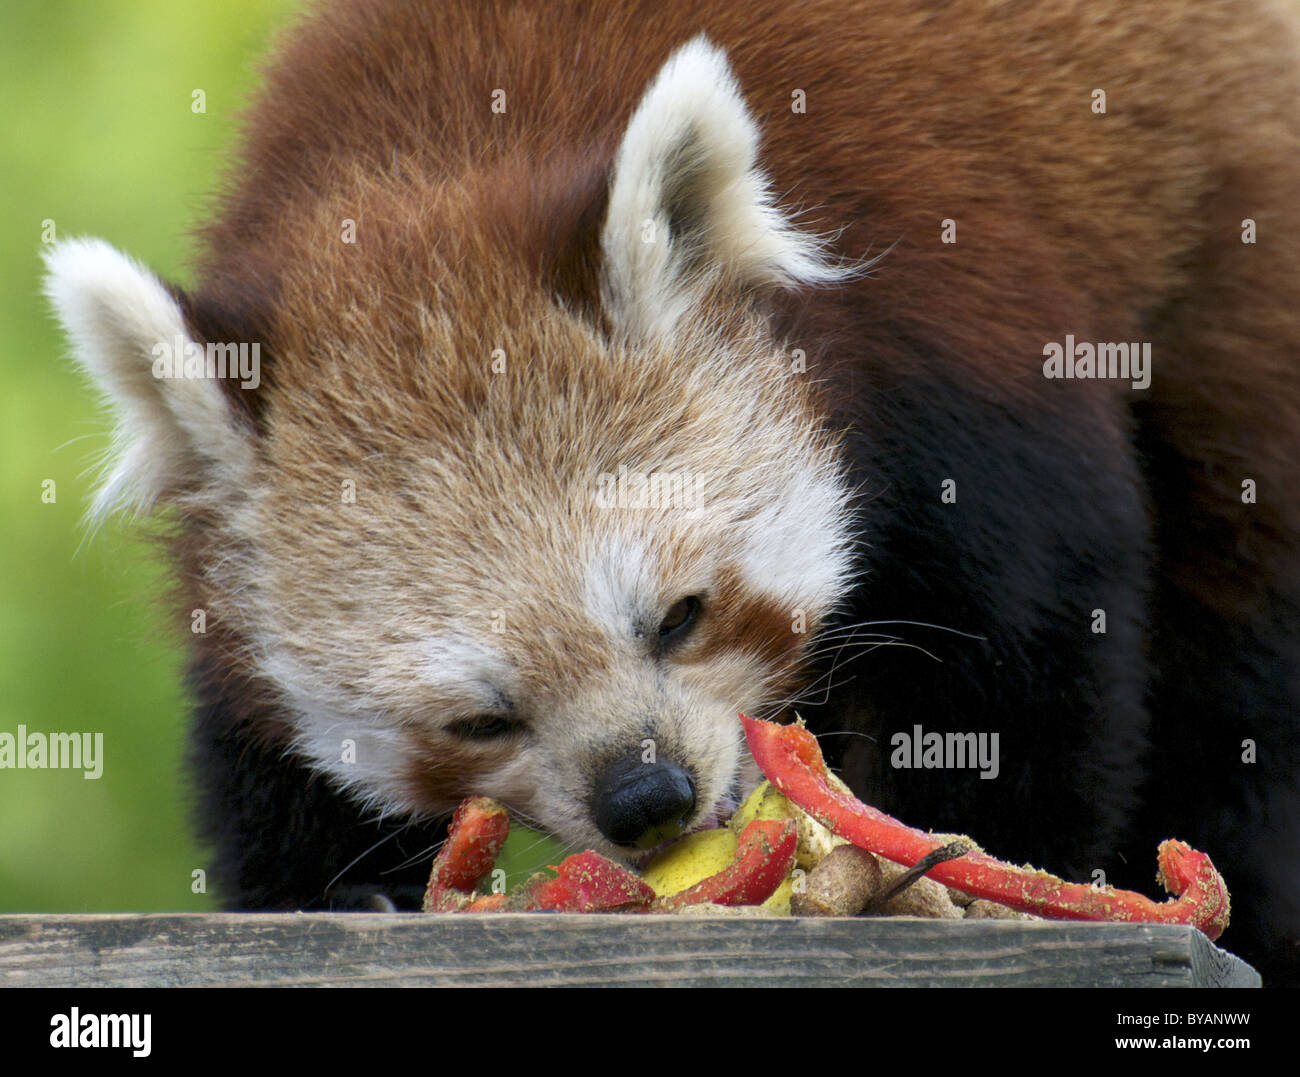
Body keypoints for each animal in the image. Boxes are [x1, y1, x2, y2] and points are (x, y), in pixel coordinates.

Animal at [45, 0, 1300, 983]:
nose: (645, 794)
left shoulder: (964, 354)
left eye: (680, 617)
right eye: (478, 719)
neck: (445, 148)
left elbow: (1019, 679)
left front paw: (974, 866)